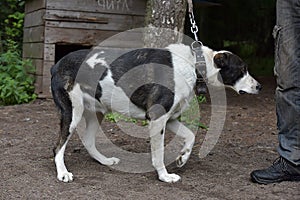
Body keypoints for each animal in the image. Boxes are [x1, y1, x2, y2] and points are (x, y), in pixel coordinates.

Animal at [50, 43, 262, 183]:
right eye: (242, 69)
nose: (259, 86)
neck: (194, 64)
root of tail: (56, 65)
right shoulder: (157, 118)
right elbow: (159, 154)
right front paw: (164, 176)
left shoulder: (171, 118)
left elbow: (191, 136)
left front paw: (183, 157)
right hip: (72, 113)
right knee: (58, 146)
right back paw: (62, 173)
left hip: (97, 112)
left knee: (88, 140)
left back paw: (105, 161)